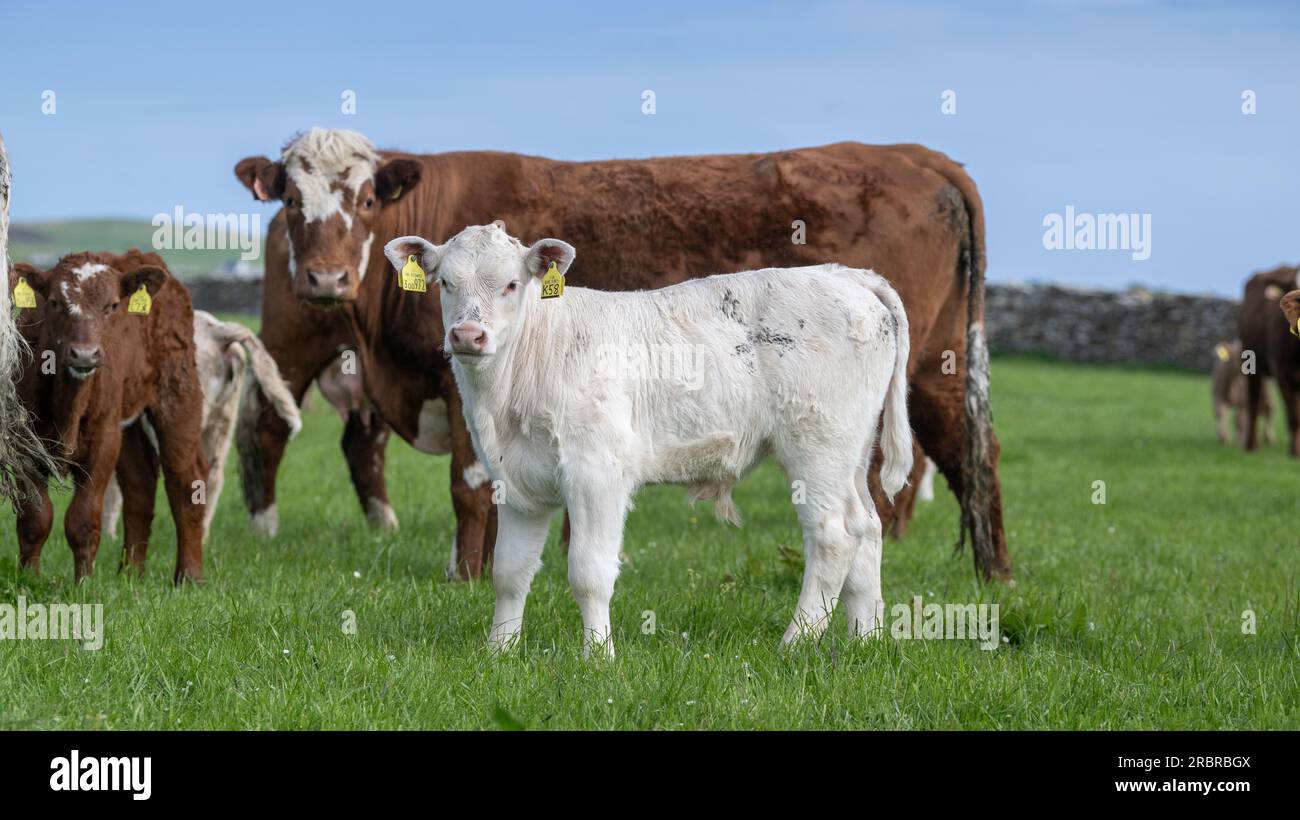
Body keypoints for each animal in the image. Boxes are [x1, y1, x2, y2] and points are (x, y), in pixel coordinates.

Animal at [9, 250, 208, 584]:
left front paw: (83, 584)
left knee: (184, 483)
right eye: (55, 302)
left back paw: (188, 576)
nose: (85, 354)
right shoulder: (24, 444)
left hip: (178, 398)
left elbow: (82, 520)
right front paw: (29, 580)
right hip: (126, 426)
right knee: (140, 486)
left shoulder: (103, 442)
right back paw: (130, 574)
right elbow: (35, 518)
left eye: (113, 305)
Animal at [231, 128, 1003, 579]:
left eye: (364, 200)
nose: (325, 279)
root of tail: (912, 154)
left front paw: (468, 574)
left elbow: (470, 483)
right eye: (293, 200)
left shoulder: (463, 383)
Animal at [384, 220, 915, 657]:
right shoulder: (515, 482)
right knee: (867, 526)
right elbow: (509, 573)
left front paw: (598, 657)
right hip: (852, 451)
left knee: (833, 534)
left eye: (511, 284)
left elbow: (589, 573)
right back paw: (864, 640)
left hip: (816, 447)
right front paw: (500, 653)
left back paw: (795, 642)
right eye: (445, 283)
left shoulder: (596, 473)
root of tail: (845, 275)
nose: (467, 335)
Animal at [1237, 267, 1300, 454]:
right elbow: (1294, 417)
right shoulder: (1283, 374)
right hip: (1252, 366)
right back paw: (1251, 446)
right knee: (1254, 404)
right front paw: (1294, 452)